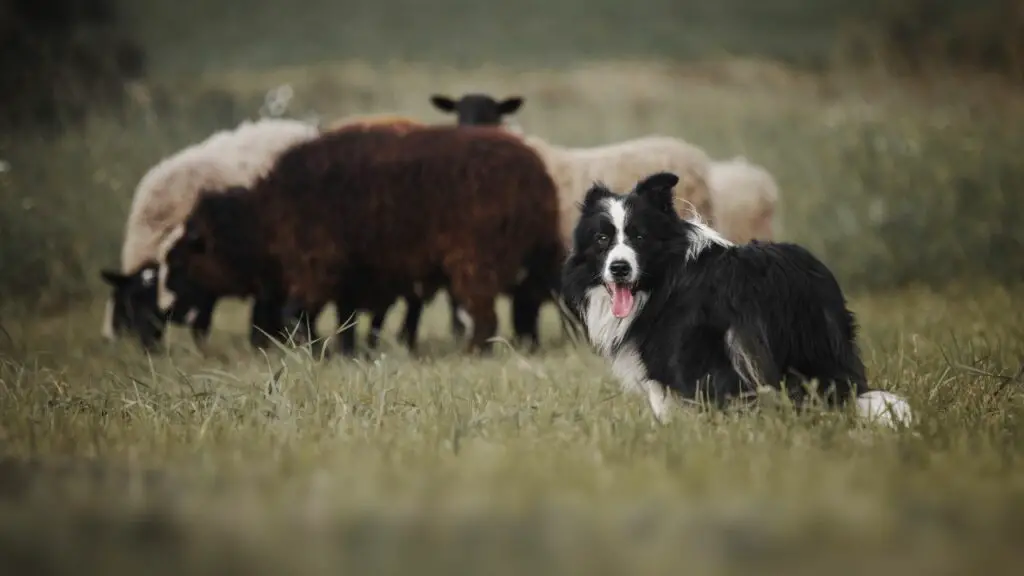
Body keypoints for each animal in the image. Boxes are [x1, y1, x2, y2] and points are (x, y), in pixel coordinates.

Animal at [157, 124, 569, 354]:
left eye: (184, 258)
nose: (170, 311)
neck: (265, 218)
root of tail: (536, 176)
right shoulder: (356, 275)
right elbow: (347, 319)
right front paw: (344, 351)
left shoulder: (316, 265)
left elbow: (297, 314)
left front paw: (316, 352)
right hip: (538, 252)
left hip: (475, 261)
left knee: (485, 317)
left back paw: (474, 352)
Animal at [561, 170, 913, 426]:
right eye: (602, 239)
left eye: (639, 236)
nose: (619, 268)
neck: (665, 274)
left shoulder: (670, 355)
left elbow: (665, 404)